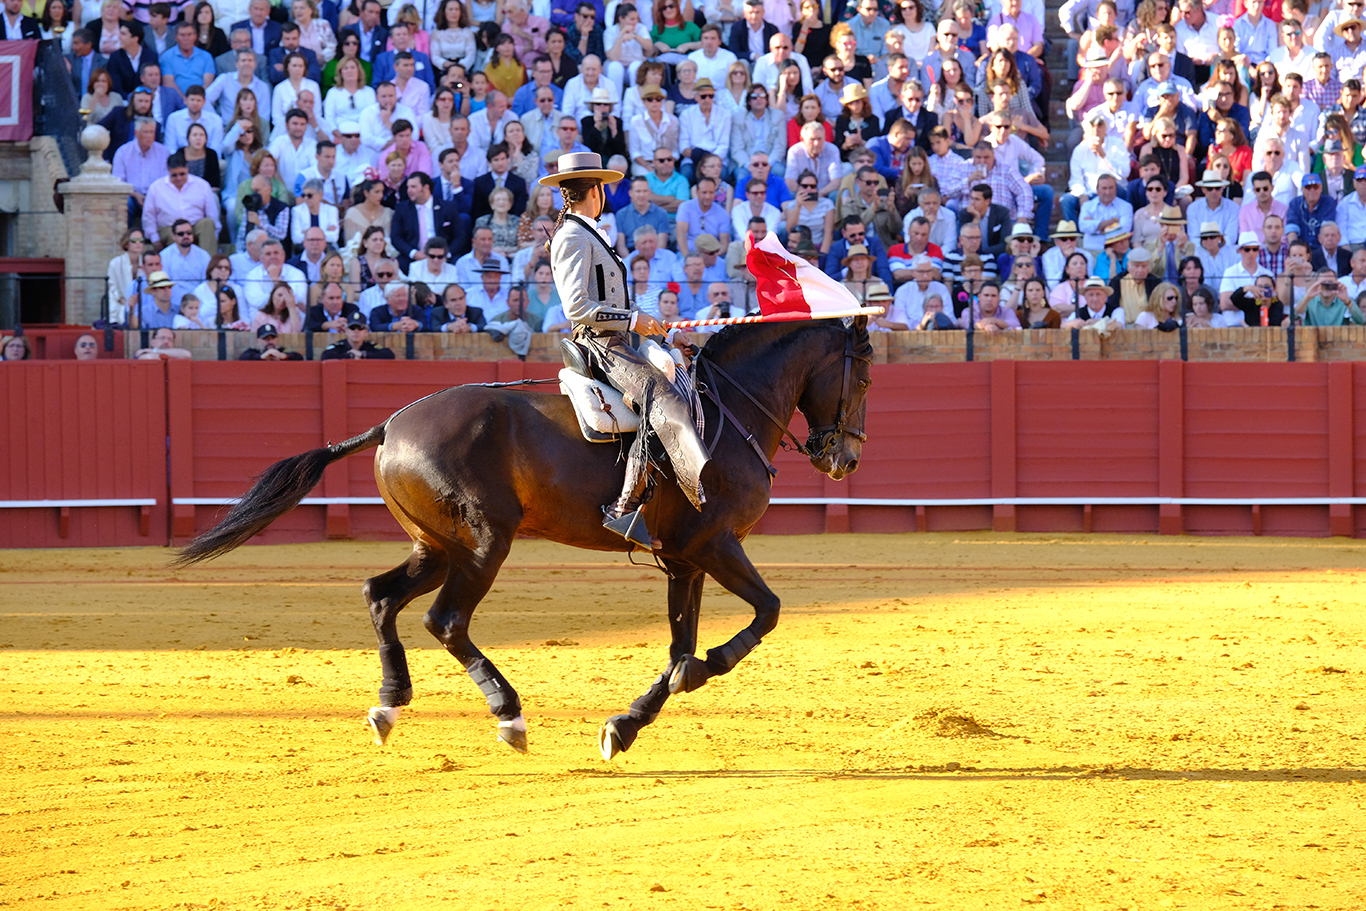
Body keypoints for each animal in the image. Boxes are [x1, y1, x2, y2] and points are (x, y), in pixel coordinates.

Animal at [176, 316, 874, 759]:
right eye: (865, 378)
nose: (844, 460)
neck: (730, 408)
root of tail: (390, 425)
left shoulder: (683, 559)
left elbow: (680, 645)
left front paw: (627, 725)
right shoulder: (715, 545)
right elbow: (767, 611)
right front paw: (701, 672)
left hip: (439, 546)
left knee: (381, 596)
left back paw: (389, 704)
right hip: (485, 543)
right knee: (444, 619)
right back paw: (507, 713)